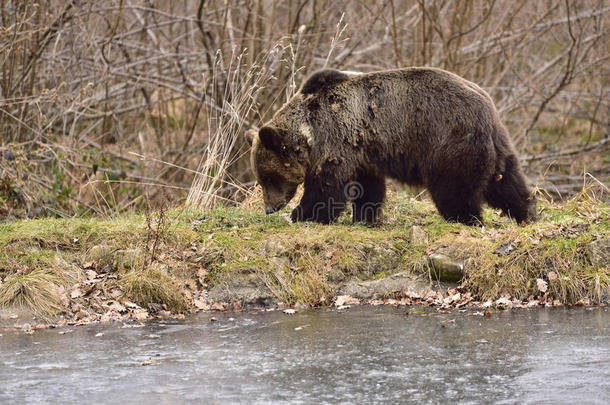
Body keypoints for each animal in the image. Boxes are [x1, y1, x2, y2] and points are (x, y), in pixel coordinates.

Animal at [245, 66, 536, 224]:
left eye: (269, 177)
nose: (270, 208)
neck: (309, 135)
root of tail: (487, 106)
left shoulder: (335, 140)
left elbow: (326, 188)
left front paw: (302, 214)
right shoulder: (361, 150)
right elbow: (367, 187)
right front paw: (364, 216)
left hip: (450, 141)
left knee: (454, 189)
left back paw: (466, 218)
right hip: (496, 146)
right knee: (506, 182)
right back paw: (526, 213)